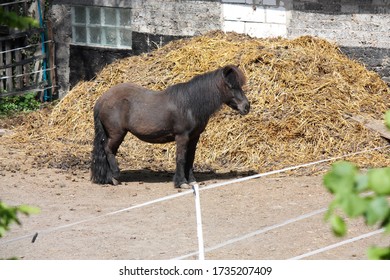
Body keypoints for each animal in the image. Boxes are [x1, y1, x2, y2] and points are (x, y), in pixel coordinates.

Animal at [90, 65, 250, 188]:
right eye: (230, 85)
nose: (246, 107)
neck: (189, 104)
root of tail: (101, 100)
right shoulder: (182, 137)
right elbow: (181, 158)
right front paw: (181, 183)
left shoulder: (194, 137)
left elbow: (190, 158)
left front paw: (191, 181)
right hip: (117, 133)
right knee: (108, 150)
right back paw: (115, 177)